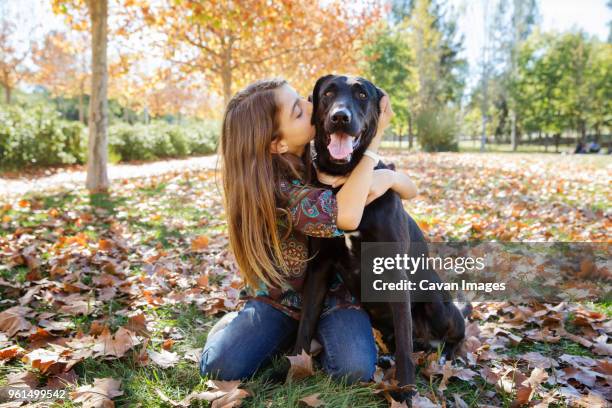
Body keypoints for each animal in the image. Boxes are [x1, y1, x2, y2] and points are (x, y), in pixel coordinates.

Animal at [294, 73, 470, 398]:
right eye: (328, 93)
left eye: (362, 94)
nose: (340, 117)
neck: (345, 182)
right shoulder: (319, 268)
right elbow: (305, 323)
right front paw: (292, 371)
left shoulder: (394, 273)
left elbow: (404, 347)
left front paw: (408, 393)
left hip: (437, 305)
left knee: (454, 332)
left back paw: (448, 357)